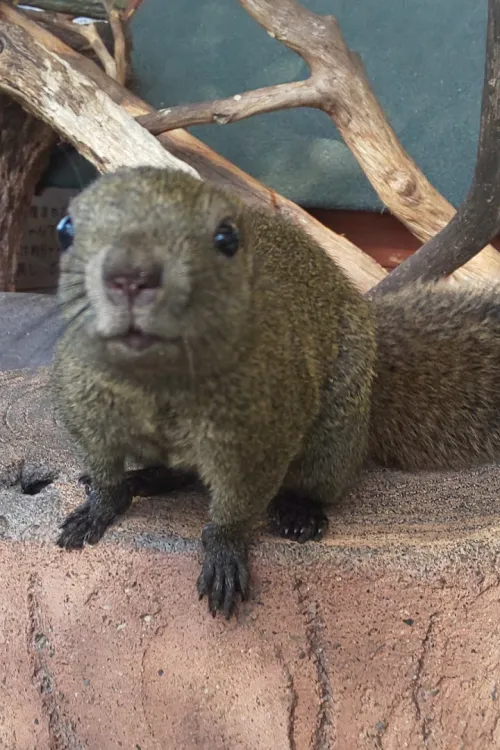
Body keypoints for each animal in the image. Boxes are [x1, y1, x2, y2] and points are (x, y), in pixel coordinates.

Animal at [52, 166, 500, 620]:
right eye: (65, 230)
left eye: (225, 238)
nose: (131, 275)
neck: (158, 385)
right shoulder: (83, 410)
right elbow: (103, 469)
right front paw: (99, 507)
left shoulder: (261, 439)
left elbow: (237, 506)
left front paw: (224, 549)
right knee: (176, 471)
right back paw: (145, 477)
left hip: (334, 438)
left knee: (319, 482)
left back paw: (298, 510)